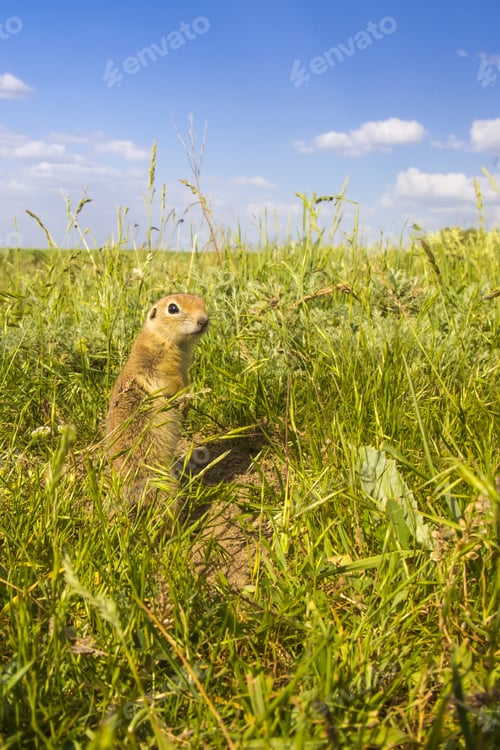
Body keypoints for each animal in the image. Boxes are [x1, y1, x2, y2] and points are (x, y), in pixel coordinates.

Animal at [105, 293, 209, 511]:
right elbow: (174, 386)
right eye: (173, 308)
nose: (204, 320)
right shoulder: (159, 368)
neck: (163, 338)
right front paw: (184, 403)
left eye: (201, 301)